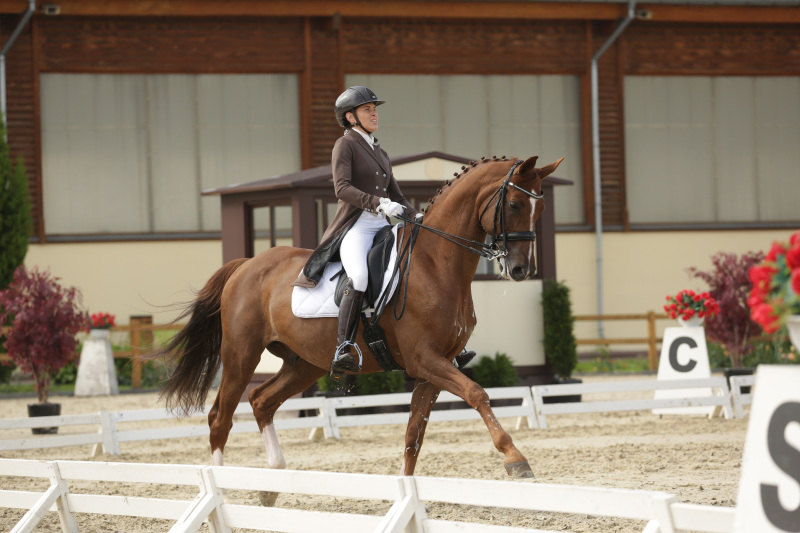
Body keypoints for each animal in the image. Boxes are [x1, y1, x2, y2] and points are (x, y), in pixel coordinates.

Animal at [159, 155, 564, 486]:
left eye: (540, 209)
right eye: (514, 204)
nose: (520, 269)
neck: (436, 264)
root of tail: (246, 265)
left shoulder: (436, 366)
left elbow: (414, 435)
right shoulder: (425, 360)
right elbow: (477, 394)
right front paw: (516, 459)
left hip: (303, 363)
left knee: (261, 401)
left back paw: (274, 479)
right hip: (241, 353)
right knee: (220, 417)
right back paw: (223, 484)